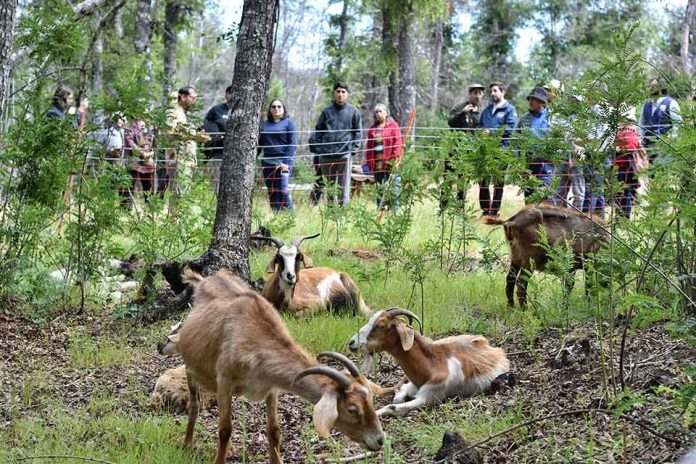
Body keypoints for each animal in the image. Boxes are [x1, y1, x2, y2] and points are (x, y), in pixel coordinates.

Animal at [174, 268, 380, 464]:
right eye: (352, 409)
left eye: (371, 400)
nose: (379, 440)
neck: (252, 335)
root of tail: (203, 281)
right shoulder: (225, 380)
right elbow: (225, 429)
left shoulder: (271, 388)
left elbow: (274, 430)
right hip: (191, 369)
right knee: (195, 404)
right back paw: (187, 444)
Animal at [350, 308, 508, 416]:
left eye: (380, 325)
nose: (351, 343)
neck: (430, 367)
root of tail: (497, 350)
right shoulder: (410, 385)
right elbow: (397, 398)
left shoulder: (429, 397)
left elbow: (392, 406)